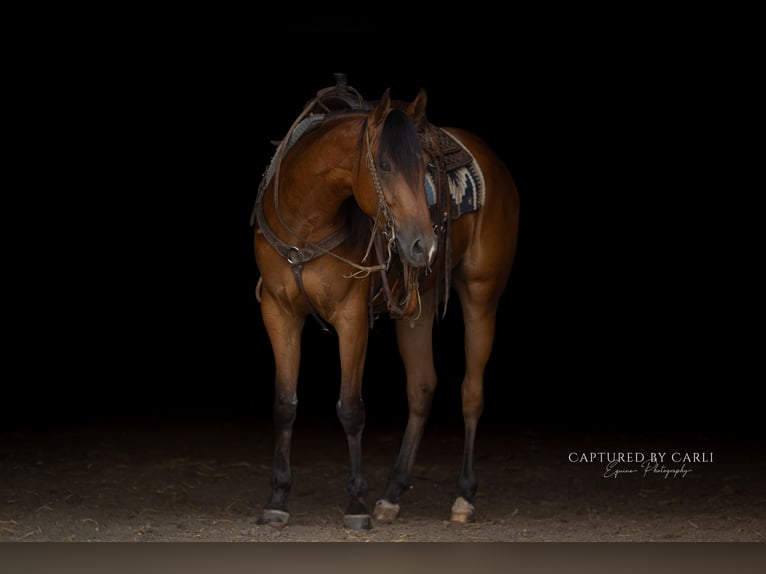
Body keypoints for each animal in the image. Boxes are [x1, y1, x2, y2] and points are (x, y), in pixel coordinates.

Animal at [251, 74, 519, 530]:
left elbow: (350, 408)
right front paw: (277, 499)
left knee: (471, 392)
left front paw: (355, 504)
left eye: (423, 168)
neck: (306, 221)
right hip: (416, 308)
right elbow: (284, 405)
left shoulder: (351, 317)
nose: (424, 244)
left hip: (481, 295)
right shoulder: (278, 312)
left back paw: (463, 496)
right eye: (386, 166)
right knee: (422, 388)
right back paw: (392, 492)